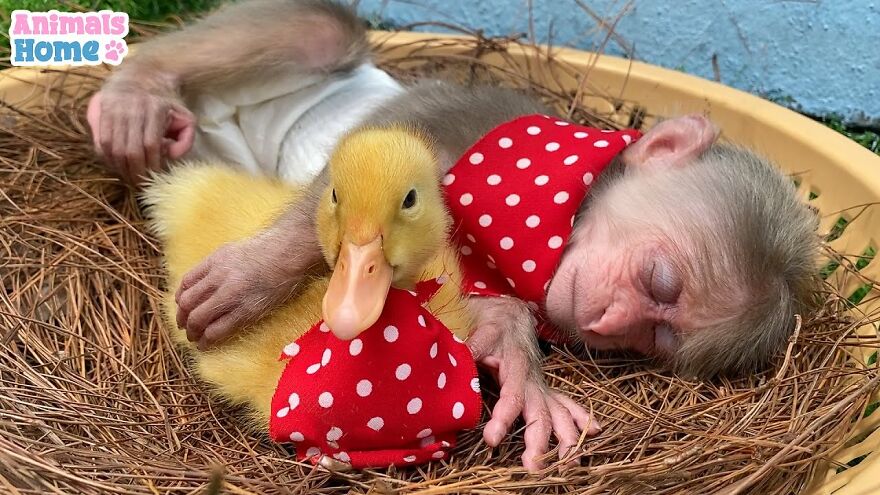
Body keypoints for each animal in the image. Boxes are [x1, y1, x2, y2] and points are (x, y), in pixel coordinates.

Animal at [86, 0, 820, 472]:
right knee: (322, 29)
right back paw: (132, 94)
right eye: (660, 283)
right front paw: (255, 275)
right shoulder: (479, 130)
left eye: (654, 338)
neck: (559, 220)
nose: (608, 321)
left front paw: (521, 370)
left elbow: (490, 310)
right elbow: (376, 162)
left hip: (204, 144)